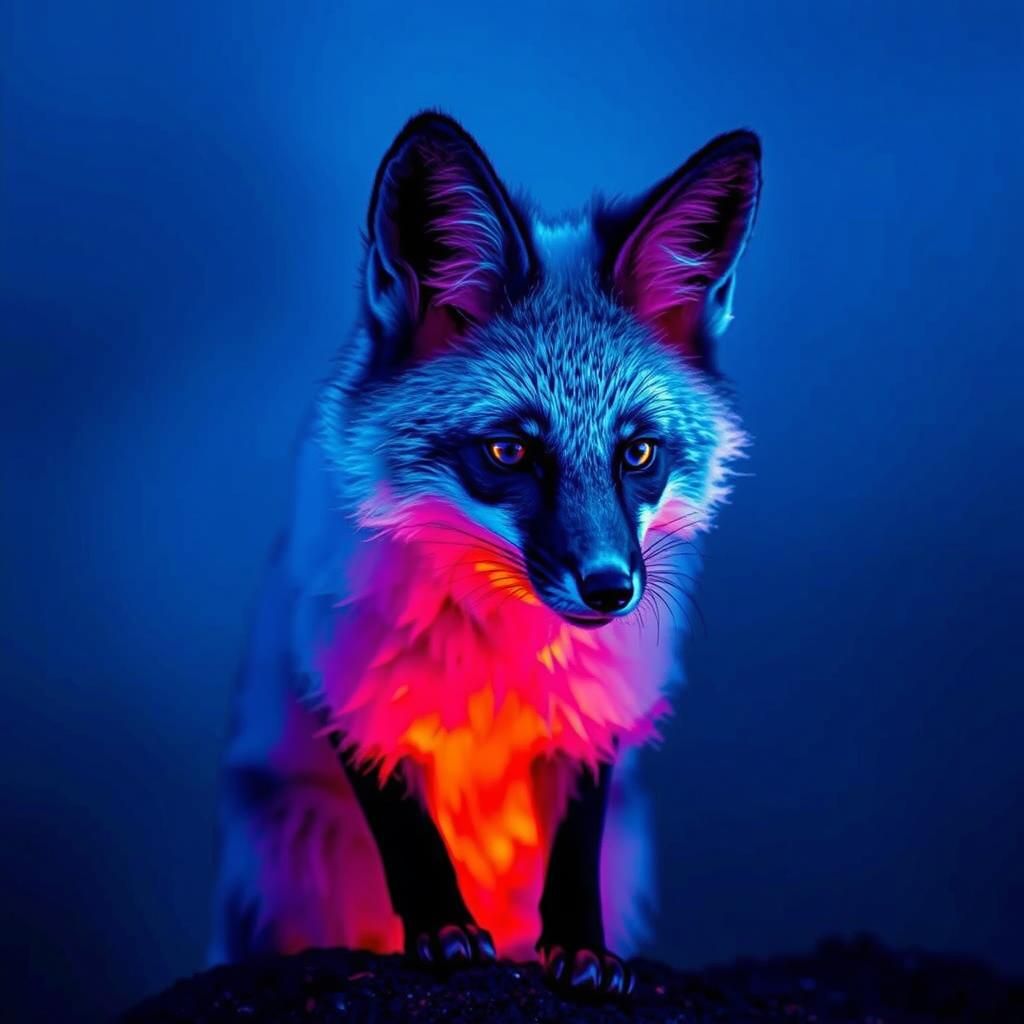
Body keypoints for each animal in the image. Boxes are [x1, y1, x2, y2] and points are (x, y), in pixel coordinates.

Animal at [208, 111, 761, 997]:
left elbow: (574, 843)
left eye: (637, 454)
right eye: (509, 453)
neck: (500, 644)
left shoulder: (595, 705)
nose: (610, 590)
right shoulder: (347, 676)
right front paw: (442, 932)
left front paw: (581, 952)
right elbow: (408, 833)